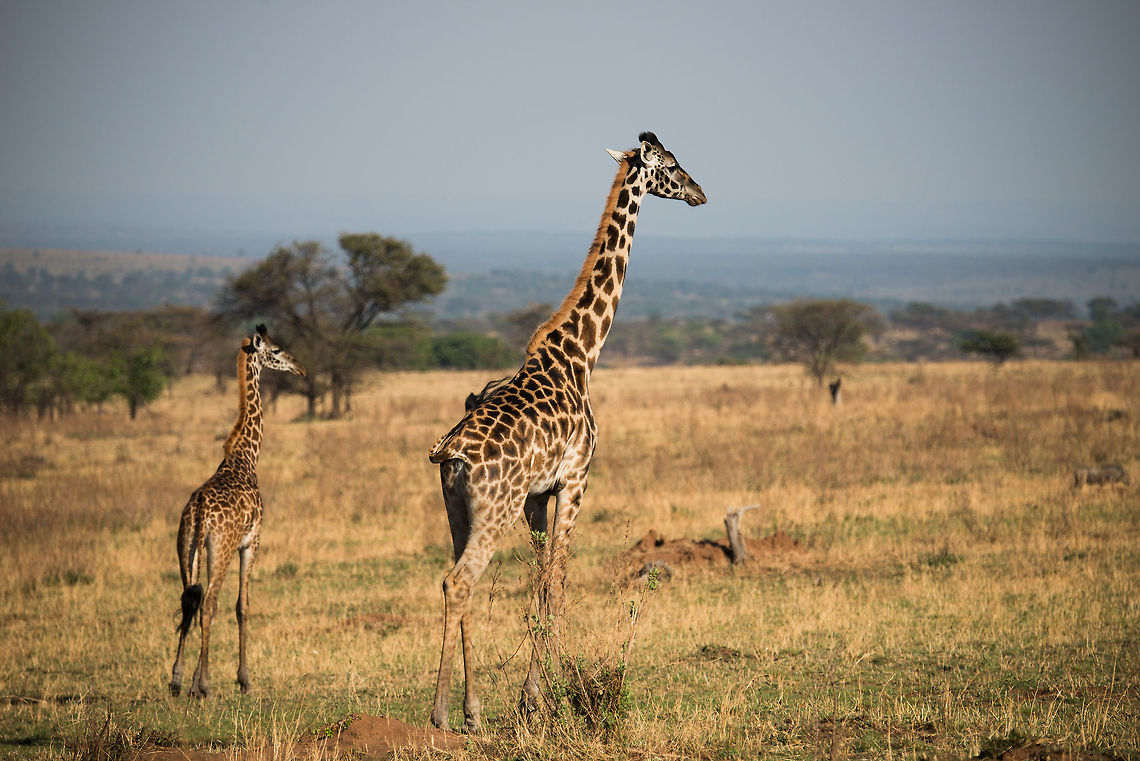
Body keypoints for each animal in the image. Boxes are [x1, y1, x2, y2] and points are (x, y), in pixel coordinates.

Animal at [169, 324, 305, 698]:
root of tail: (200, 513)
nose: (300, 367)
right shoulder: (252, 542)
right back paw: (203, 685)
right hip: (221, 549)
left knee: (189, 601)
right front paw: (244, 679)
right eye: (276, 351)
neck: (244, 456)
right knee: (209, 604)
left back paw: (176, 681)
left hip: (185, 549)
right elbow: (242, 606)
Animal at [427, 132, 706, 732]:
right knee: (460, 582)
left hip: (458, 510)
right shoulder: (576, 480)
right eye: (671, 166)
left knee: (455, 581)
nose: (700, 192)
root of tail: (452, 456)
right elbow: (556, 578)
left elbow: (538, 580)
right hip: (495, 509)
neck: (582, 353)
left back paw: (473, 710)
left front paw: (532, 693)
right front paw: (543, 694)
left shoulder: (538, 495)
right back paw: (443, 714)